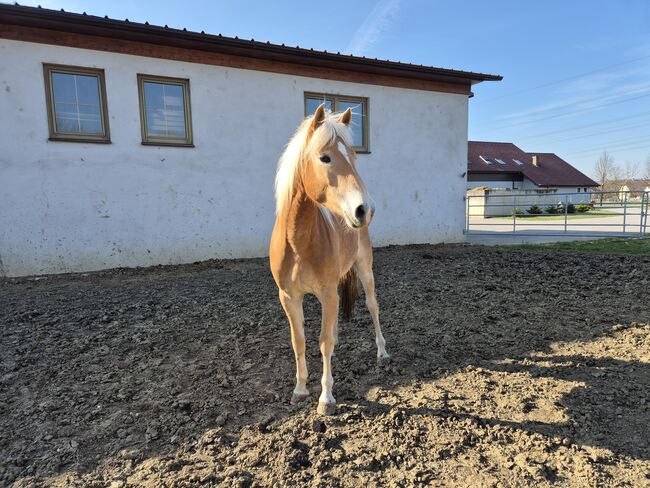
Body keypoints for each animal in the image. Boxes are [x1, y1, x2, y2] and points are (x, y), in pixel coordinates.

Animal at [270, 104, 390, 416]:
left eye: (354, 157)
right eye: (325, 157)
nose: (365, 210)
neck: (298, 243)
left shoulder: (326, 293)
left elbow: (324, 343)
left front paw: (326, 398)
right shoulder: (289, 296)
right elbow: (299, 341)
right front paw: (300, 390)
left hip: (365, 270)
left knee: (373, 307)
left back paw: (383, 353)